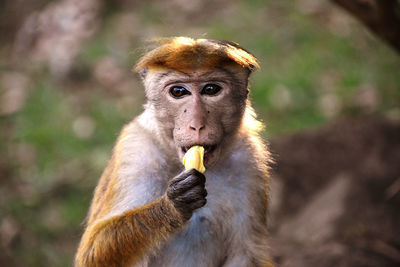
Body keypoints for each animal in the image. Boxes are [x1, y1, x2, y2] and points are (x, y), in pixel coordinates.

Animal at [74, 36, 276, 266]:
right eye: (178, 92)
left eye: (211, 89)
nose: (196, 124)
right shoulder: (135, 153)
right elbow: (92, 253)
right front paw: (173, 205)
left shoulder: (249, 161)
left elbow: (246, 254)